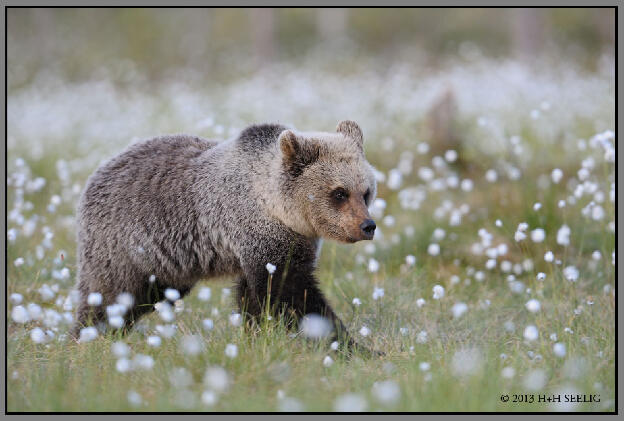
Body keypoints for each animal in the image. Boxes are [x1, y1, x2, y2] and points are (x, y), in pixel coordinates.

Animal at [71, 120, 378, 354]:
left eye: (365, 192)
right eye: (339, 192)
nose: (368, 226)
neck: (277, 207)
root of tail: (96, 173)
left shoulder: (283, 243)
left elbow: (256, 297)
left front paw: (256, 334)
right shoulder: (257, 231)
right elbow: (291, 293)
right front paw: (354, 346)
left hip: (167, 267)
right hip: (126, 246)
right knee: (110, 295)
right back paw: (86, 338)